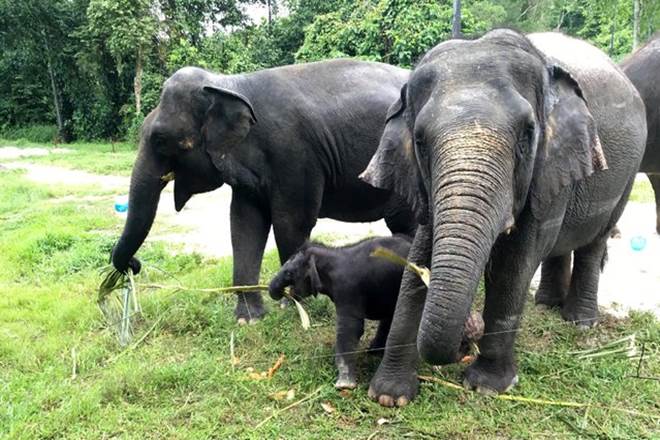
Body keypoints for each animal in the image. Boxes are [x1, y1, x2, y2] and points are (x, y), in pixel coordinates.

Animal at [109, 59, 417, 323]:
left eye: (160, 140)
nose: (134, 265)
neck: (228, 83)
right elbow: (244, 222)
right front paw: (248, 318)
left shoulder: (294, 153)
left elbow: (290, 222)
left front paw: (292, 305)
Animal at [359, 30, 646, 406]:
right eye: (419, 141)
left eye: (527, 134)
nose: (464, 341)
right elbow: (420, 255)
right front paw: (389, 396)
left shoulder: (547, 166)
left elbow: (514, 265)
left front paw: (487, 386)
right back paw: (546, 305)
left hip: (626, 174)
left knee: (594, 242)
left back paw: (580, 322)